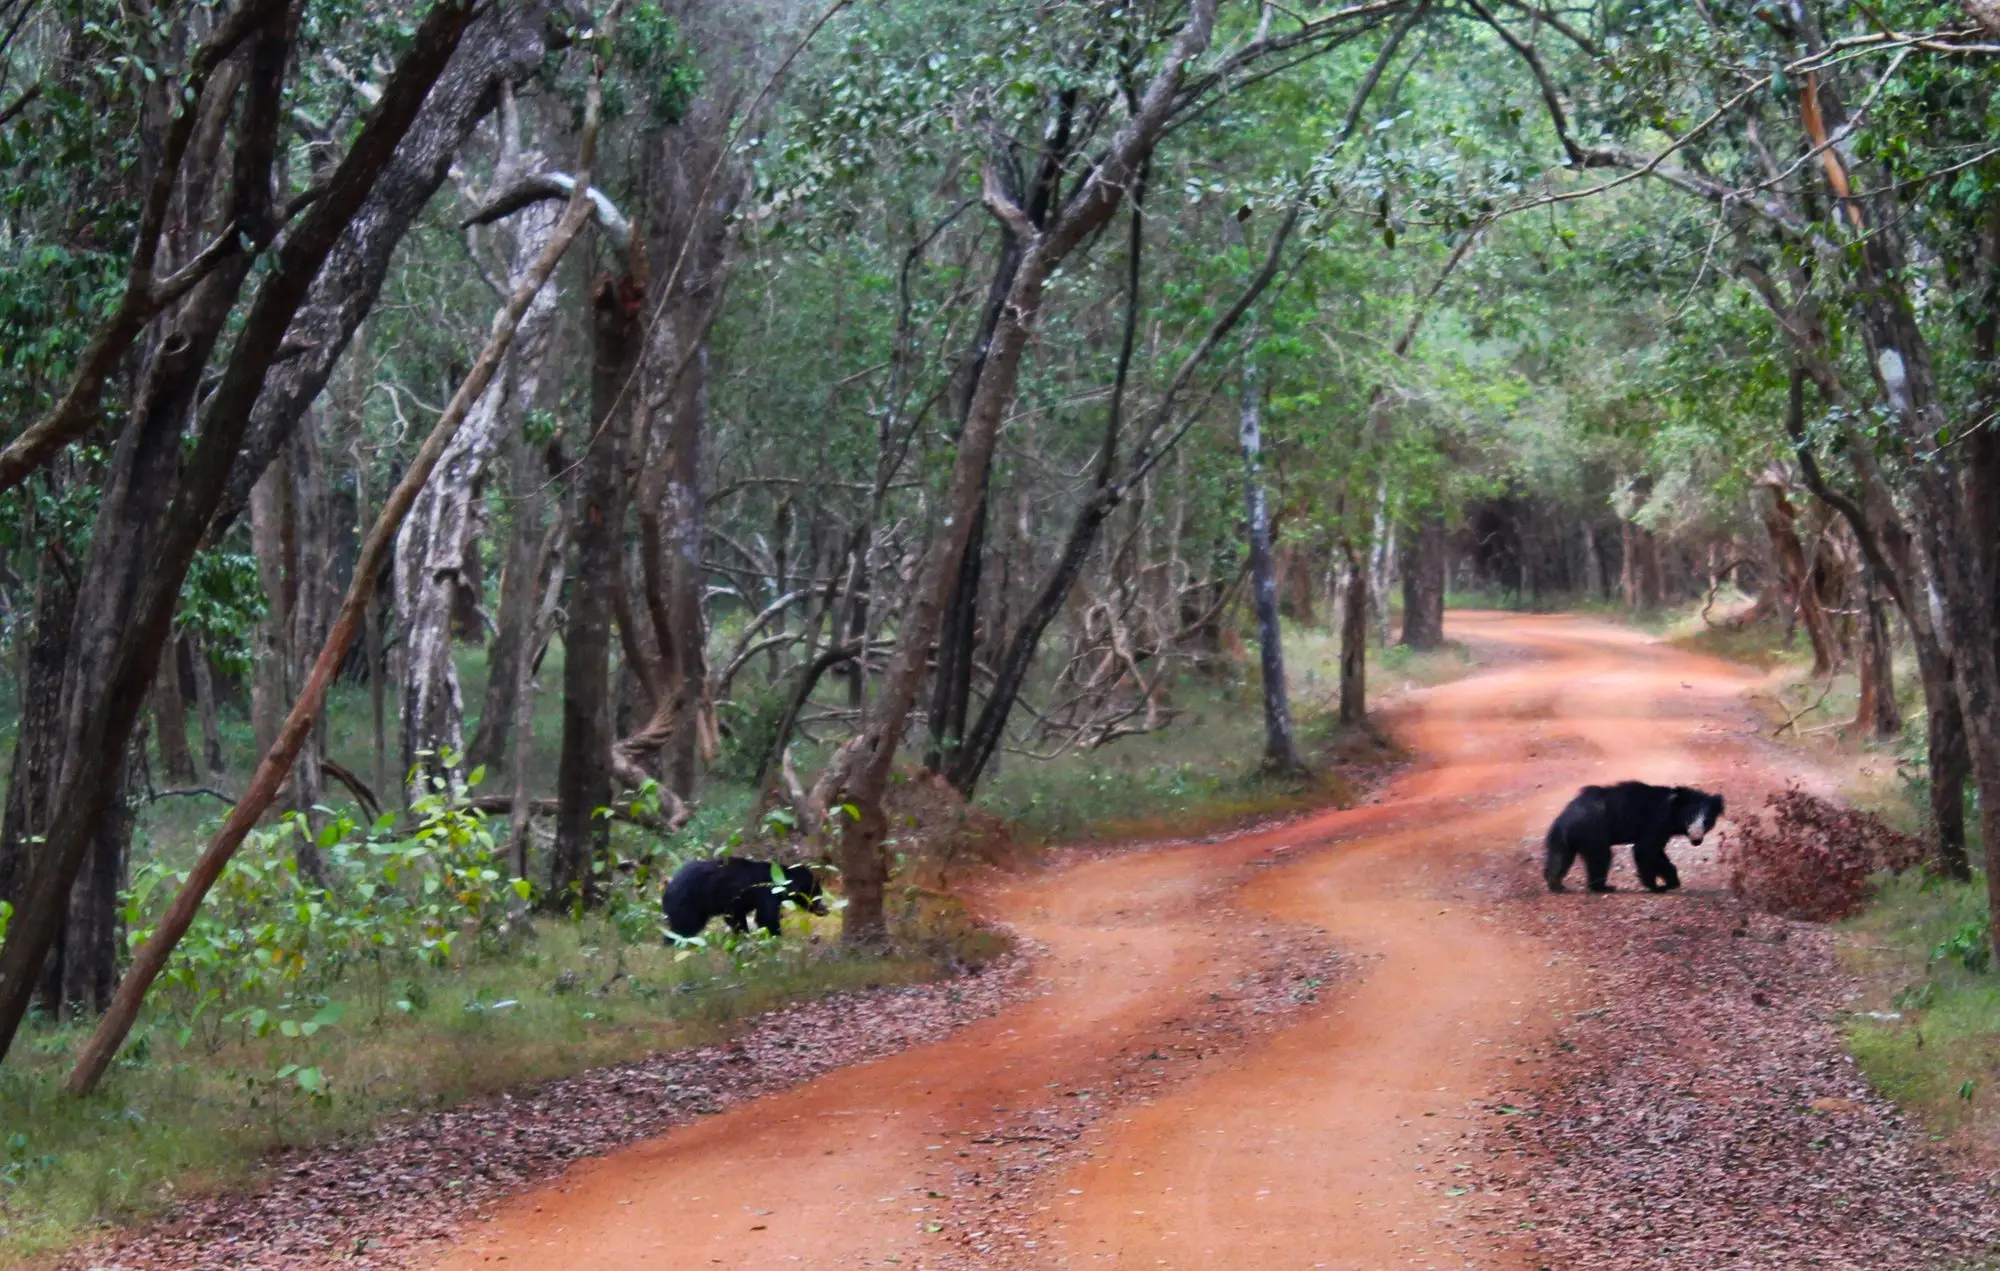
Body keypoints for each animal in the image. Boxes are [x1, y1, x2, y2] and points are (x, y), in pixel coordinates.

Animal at [661, 856, 828, 940]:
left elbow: (737, 917)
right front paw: (777, 936)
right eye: (817, 893)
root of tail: (667, 888)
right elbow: (766, 917)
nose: (825, 909)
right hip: (688, 904)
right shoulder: (765, 893)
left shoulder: (737, 903)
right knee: (683, 927)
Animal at [1542, 781, 1725, 894]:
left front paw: (1671, 882)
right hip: (1593, 832)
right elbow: (1645, 850)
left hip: (1565, 840)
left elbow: (1657, 853)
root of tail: (1564, 819)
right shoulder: (1655, 823)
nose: (1697, 839)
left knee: (1559, 858)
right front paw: (1658, 886)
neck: (1672, 810)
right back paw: (1603, 887)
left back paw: (1556, 884)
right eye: (1690, 817)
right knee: (1601, 858)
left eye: (1707, 821)